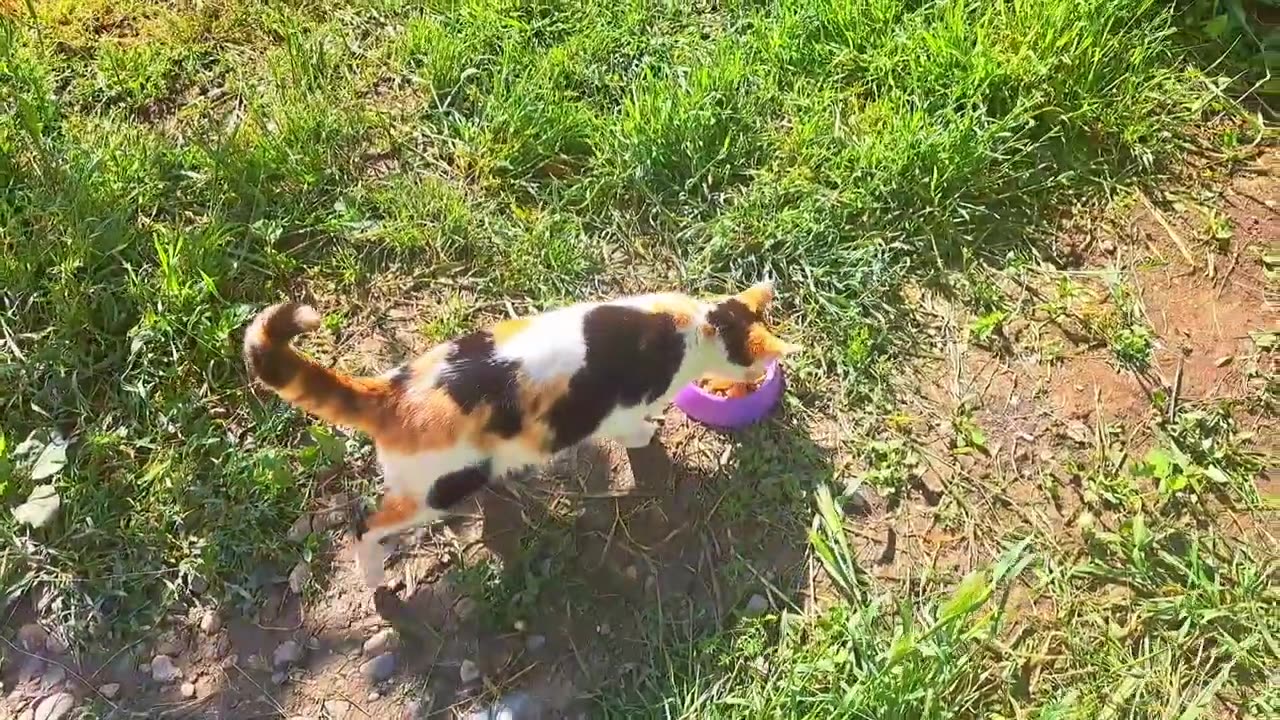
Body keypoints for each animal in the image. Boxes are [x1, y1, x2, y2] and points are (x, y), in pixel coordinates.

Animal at [241, 280, 788, 584]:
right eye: (755, 359)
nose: (761, 372)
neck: (692, 324)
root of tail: (395, 391)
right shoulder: (621, 411)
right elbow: (635, 430)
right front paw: (650, 435)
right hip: (439, 487)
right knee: (365, 524)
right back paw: (374, 574)